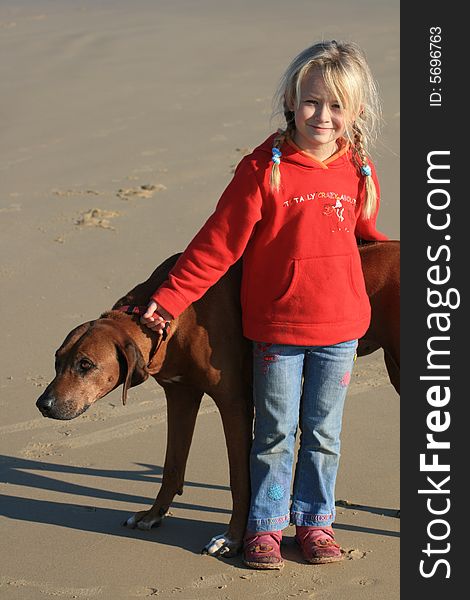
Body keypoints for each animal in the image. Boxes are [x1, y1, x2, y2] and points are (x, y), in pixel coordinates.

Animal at [35, 240, 398, 556]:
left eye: (86, 364)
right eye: (57, 360)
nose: (43, 405)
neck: (174, 319)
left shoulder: (235, 403)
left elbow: (240, 477)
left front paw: (233, 539)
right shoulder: (181, 395)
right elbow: (172, 464)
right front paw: (153, 515)